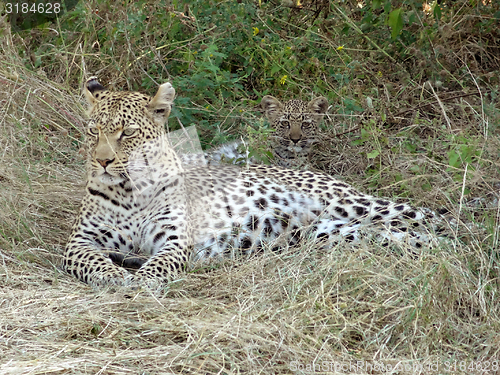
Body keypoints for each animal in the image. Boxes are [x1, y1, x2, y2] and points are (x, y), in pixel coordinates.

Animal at [63, 78, 446, 290]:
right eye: (94, 130)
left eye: (127, 133)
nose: (102, 161)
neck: (131, 191)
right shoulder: (78, 242)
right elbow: (94, 261)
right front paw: (117, 274)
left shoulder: (173, 241)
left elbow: (160, 264)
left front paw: (139, 280)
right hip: (331, 232)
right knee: (394, 235)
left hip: (349, 203)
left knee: (428, 215)